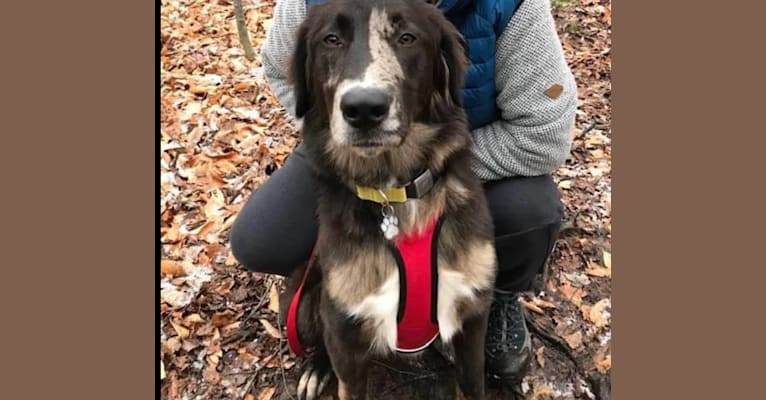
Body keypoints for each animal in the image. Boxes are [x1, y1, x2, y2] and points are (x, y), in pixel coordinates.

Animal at [280, 1, 500, 398]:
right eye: (330, 40)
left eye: (407, 37)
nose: (364, 109)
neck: (396, 190)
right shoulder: (346, 335)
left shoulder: (472, 319)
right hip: (299, 301)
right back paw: (316, 368)